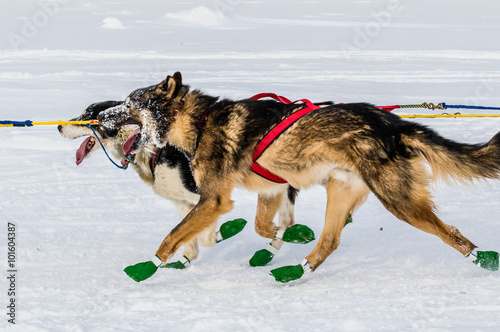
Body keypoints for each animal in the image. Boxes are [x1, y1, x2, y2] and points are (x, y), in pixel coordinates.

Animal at [58, 100, 300, 268]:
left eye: (87, 116)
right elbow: (195, 240)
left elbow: (203, 235)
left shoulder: (204, 198)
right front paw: (187, 258)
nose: (59, 127)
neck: (150, 150)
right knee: (286, 221)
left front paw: (226, 230)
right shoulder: (182, 201)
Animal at [98, 70, 500, 282]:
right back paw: (298, 269)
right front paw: (285, 238)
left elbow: (172, 237)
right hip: (341, 188)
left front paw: (149, 266)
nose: (99, 116)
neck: (199, 123)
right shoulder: (272, 189)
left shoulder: (213, 199)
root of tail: (395, 124)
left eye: (130, 103)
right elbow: (264, 226)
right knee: (330, 241)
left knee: (452, 234)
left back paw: (483, 259)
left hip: (400, 201)